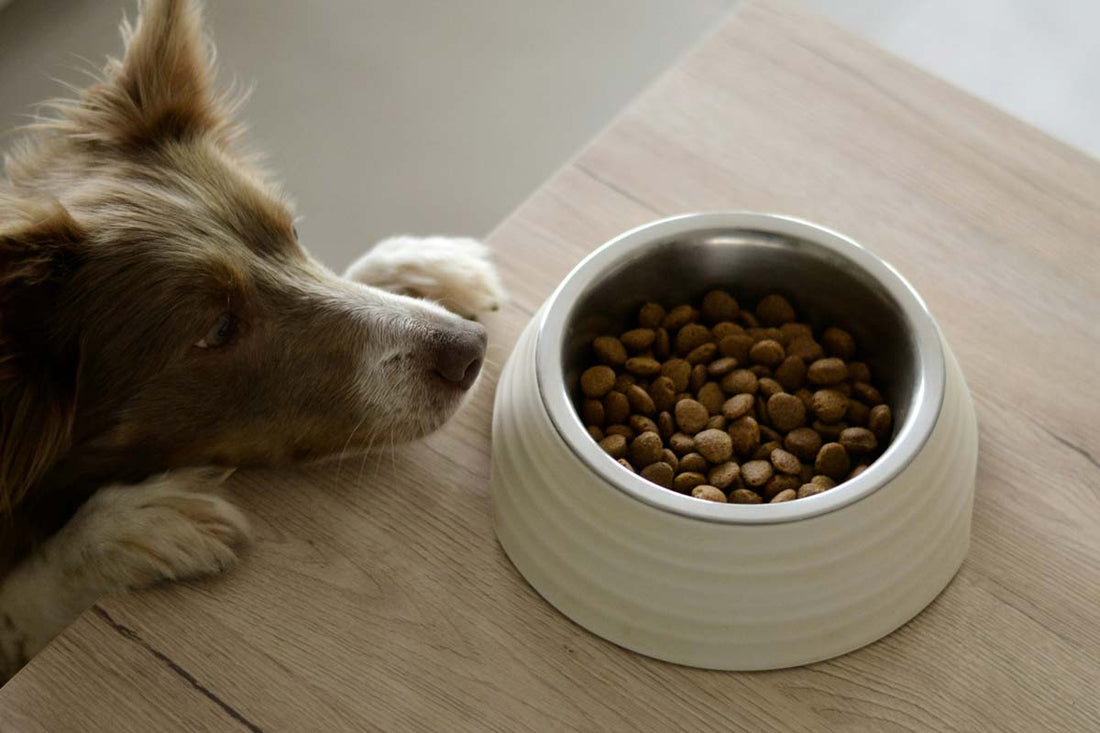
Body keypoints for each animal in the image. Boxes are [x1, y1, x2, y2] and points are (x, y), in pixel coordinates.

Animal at [0, 0, 503, 677]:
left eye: (291, 232)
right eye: (218, 328)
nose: (470, 350)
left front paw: (417, 266)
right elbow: (20, 601)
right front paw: (124, 529)